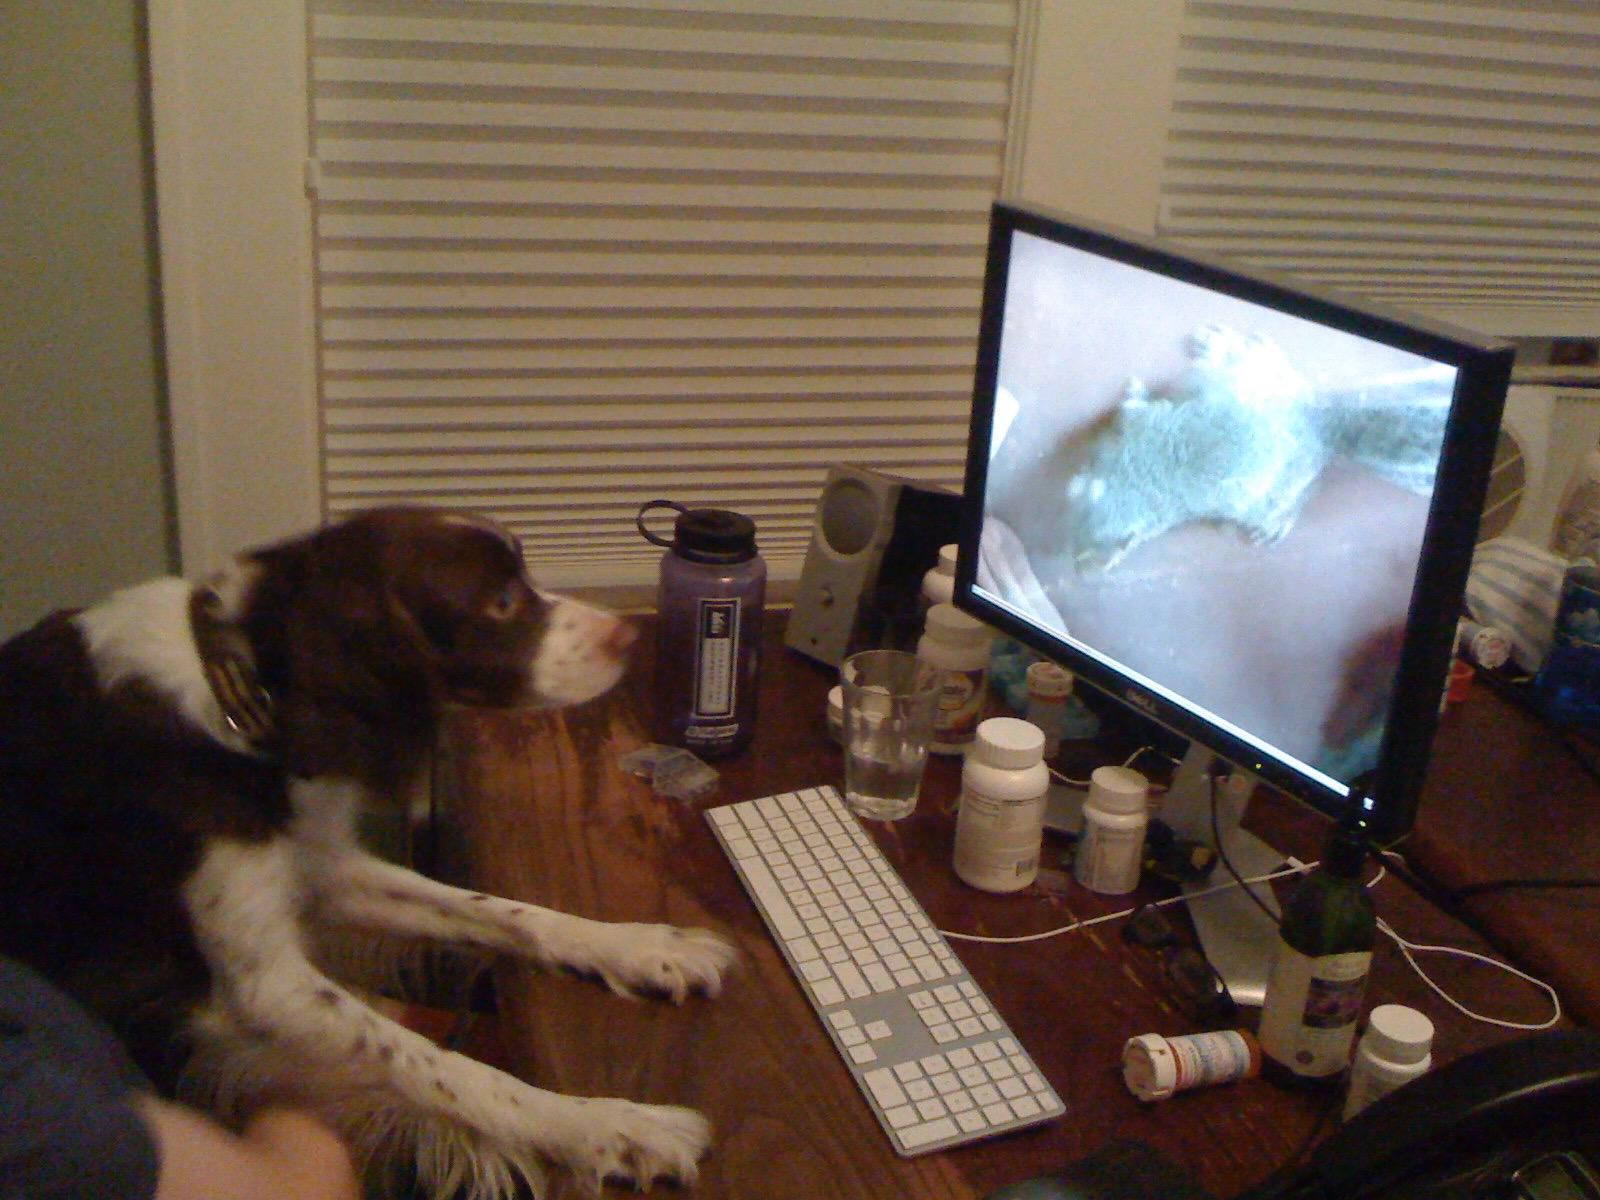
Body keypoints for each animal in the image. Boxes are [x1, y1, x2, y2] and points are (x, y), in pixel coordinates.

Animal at [0, 506, 737, 1198]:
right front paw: (610, 1124)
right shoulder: (266, 986)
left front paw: (643, 945)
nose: (629, 635)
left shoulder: (320, 867)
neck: (237, 693)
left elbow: (503, 910)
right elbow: (445, 1068)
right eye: (500, 602)